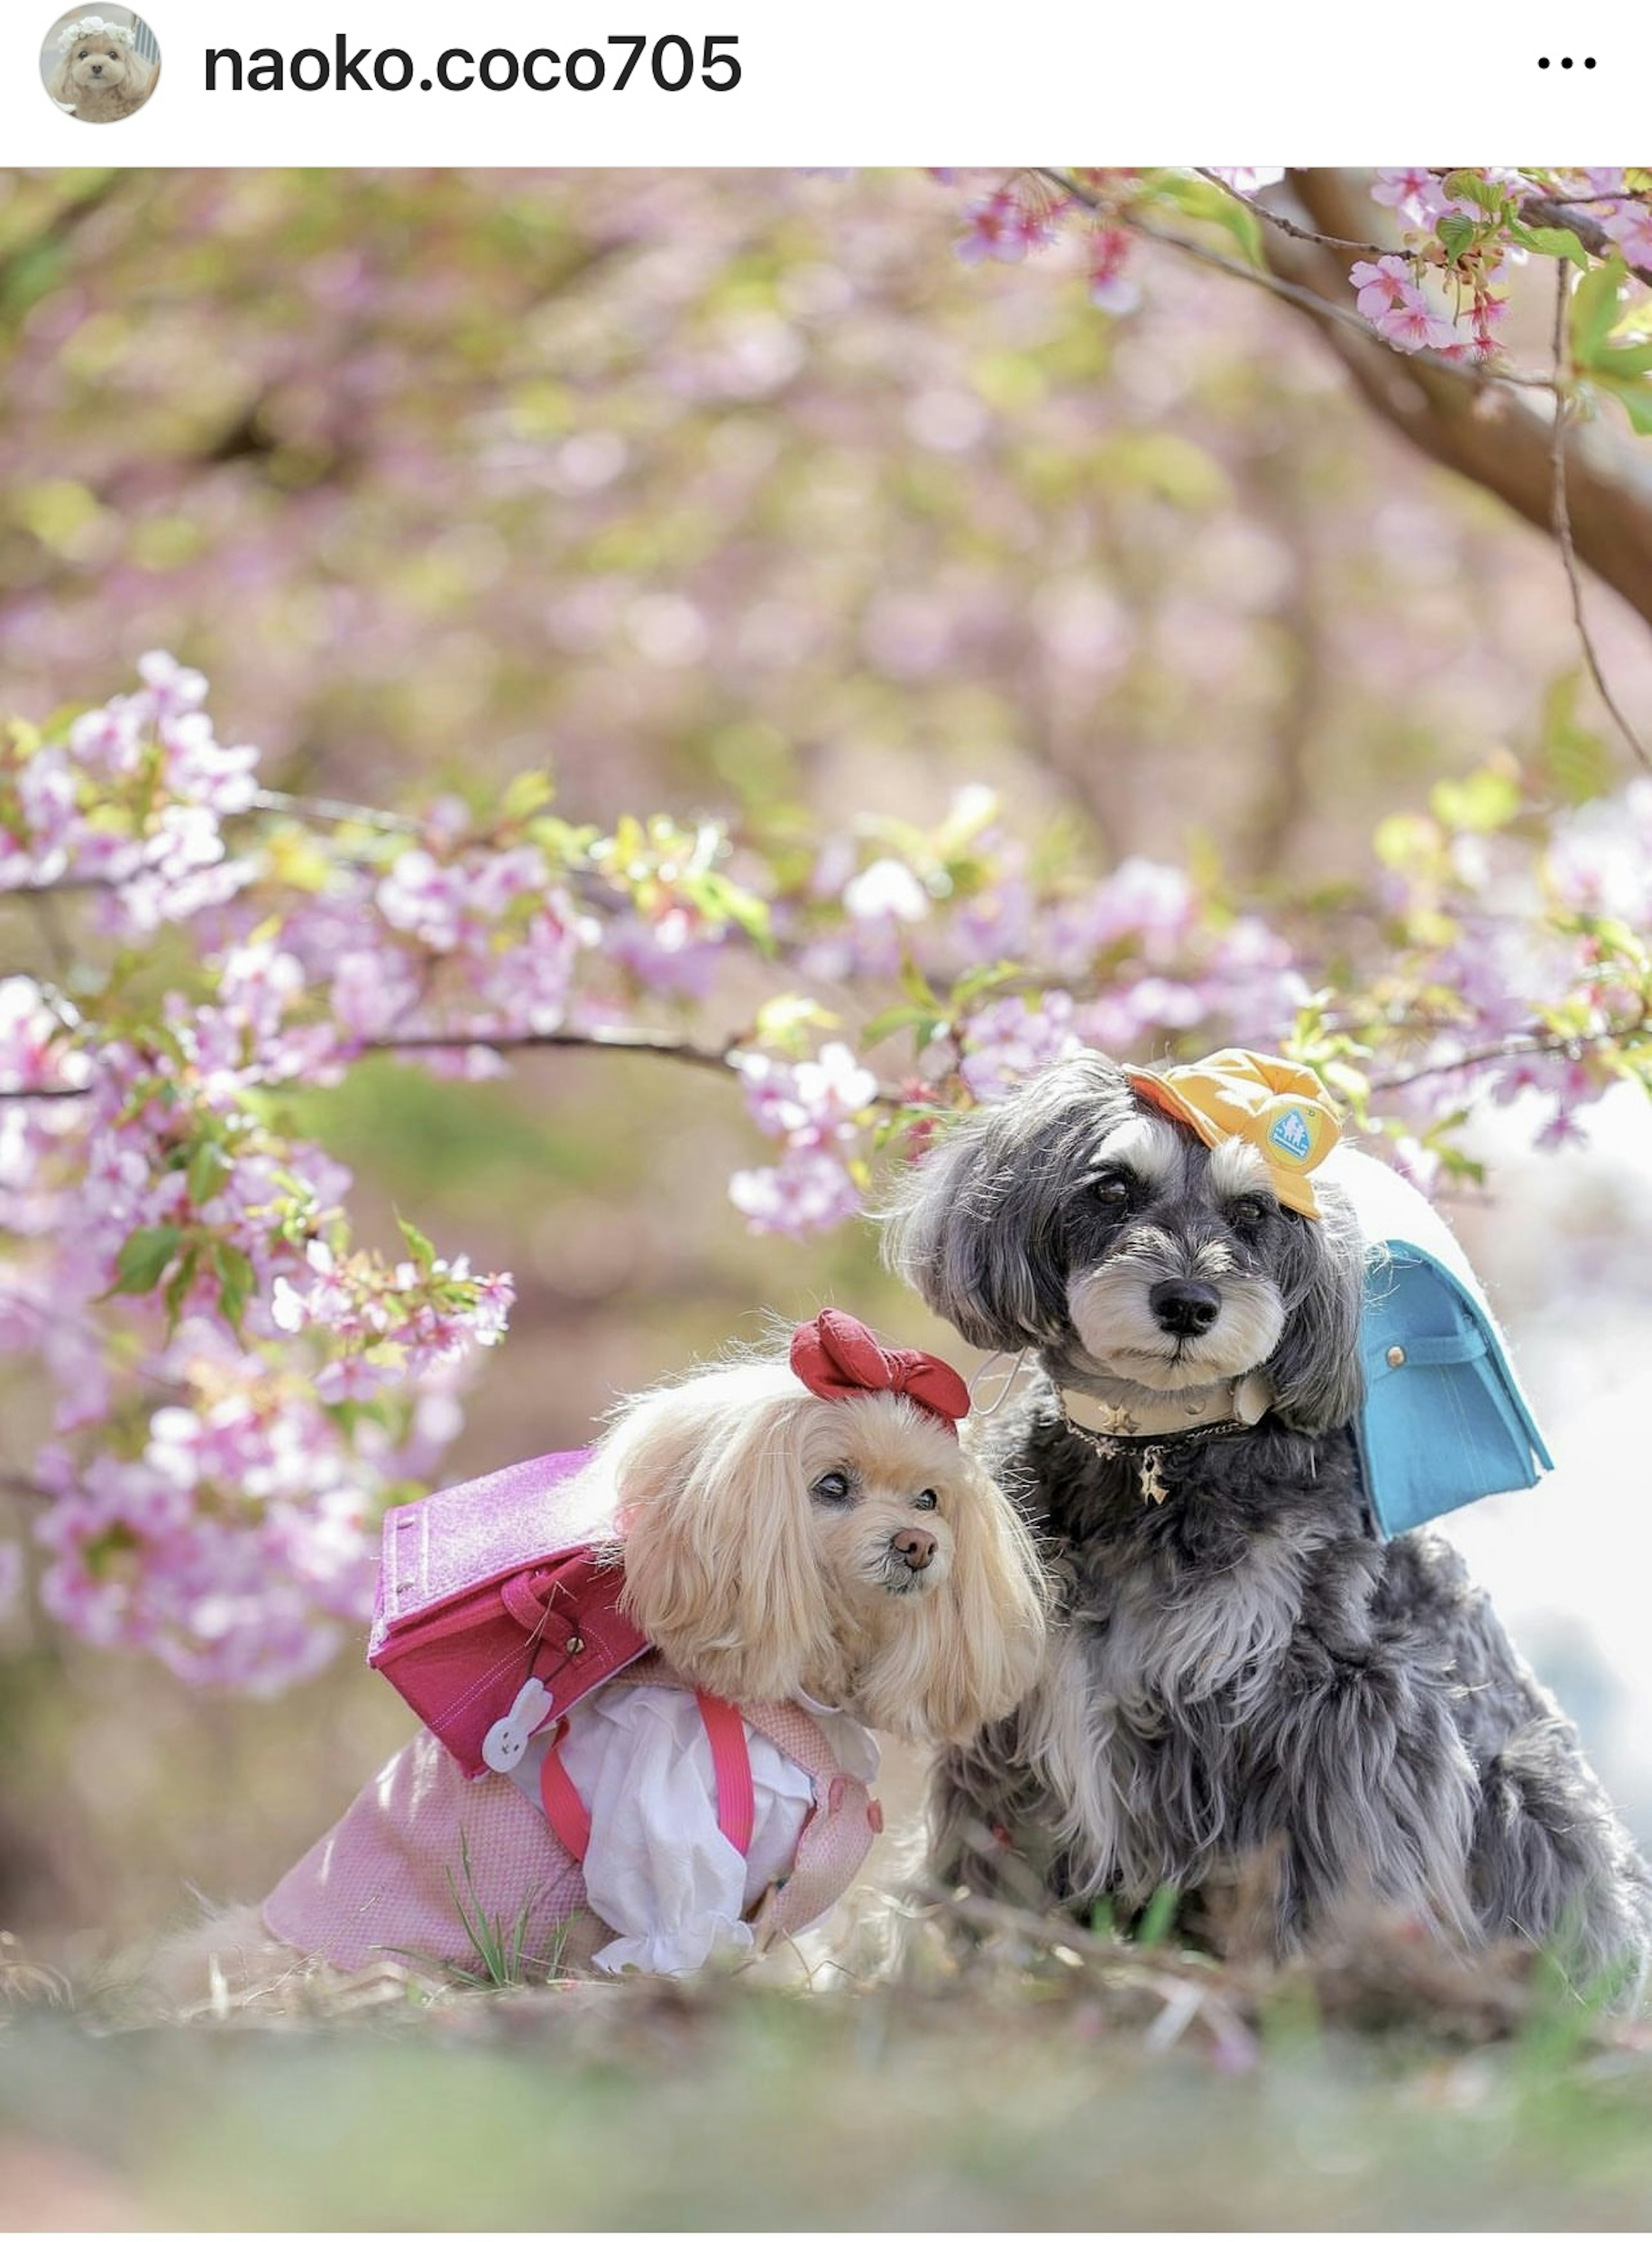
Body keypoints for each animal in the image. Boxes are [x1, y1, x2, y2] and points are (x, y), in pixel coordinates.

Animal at [888, 1053, 1649, 2000]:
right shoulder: (1021, 1707)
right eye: (1112, 1186)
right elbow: (991, 1857)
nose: (1187, 1301)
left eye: (1255, 1211)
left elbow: (1334, 1863)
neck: (1158, 1454)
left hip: (1533, 1797)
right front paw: (976, 1967)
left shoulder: (1336, 1708)